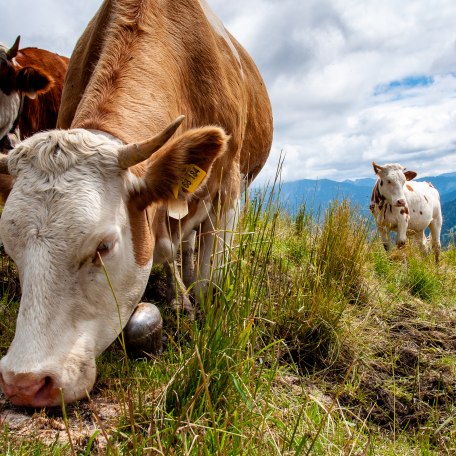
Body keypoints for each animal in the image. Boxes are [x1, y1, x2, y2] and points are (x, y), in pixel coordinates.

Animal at [0, 0, 272, 406]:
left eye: (103, 247)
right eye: (10, 248)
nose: (24, 384)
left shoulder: (229, 187)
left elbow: (210, 279)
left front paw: (203, 316)